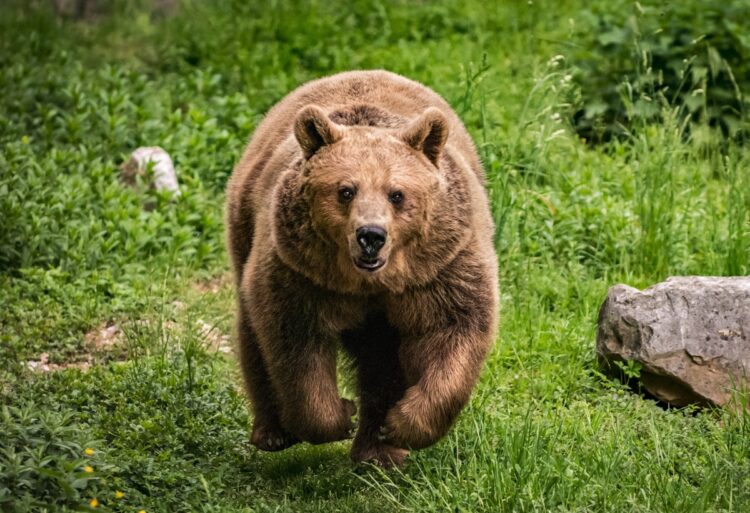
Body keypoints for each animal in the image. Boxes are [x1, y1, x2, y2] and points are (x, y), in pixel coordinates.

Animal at [226, 70, 502, 466]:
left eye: (397, 194)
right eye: (345, 190)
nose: (371, 236)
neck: (370, 283)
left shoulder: (440, 269)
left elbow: (455, 328)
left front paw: (401, 424)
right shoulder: (302, 273)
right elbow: (295, 342)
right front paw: (341, 413)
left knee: (382, 362)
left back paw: (379, 451)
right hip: (247, 226)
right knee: (252, 333)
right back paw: (274, 433)